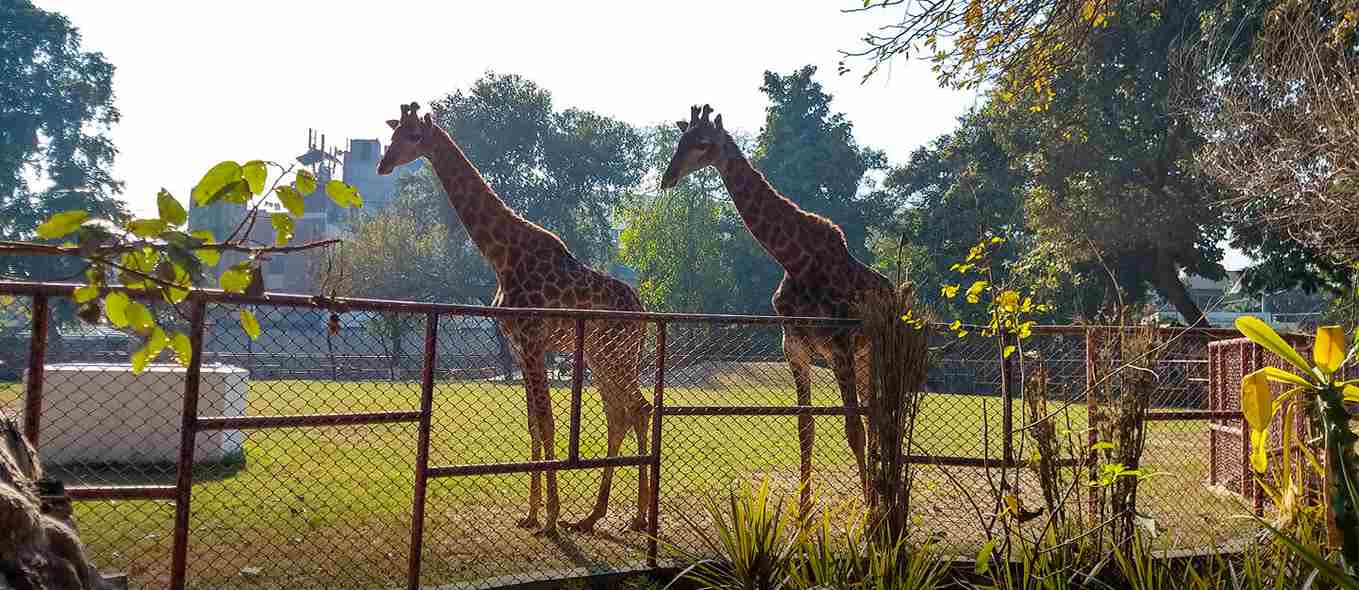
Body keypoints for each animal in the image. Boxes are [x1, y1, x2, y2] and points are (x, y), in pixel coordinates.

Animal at [377, 101, 652, 535]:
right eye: (391, 134)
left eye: (414, 136)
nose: (383, 163)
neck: (502, 256)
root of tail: (641, 312)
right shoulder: (519, 347)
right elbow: (532, 424)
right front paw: (532, 513)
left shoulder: (534, 342)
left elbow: (548, 421)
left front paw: (551, 518)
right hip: (599, 355)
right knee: (620, 413)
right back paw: (596, 516)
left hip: (617, 354)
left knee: (638, 409)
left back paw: (635, 517)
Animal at [657, 103, 891, 505]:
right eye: (680, 140)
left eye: (703, 143)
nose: (668, 177)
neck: (796, 261)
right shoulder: (794, 346)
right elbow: (805, 426)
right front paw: (803, 509)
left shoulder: (839, 347)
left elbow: (852, 428)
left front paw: (865, 510)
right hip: (863, 358)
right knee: (873, 414)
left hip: (874, 352)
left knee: (875, 417)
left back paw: (877, 496)